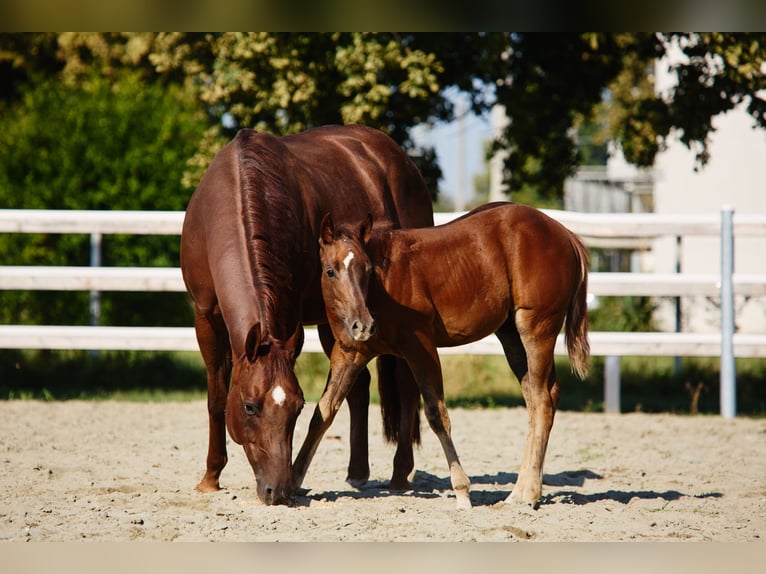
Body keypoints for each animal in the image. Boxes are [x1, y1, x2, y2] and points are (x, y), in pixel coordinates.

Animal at [180, 125, 433, 505]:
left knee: (405, 384)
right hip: (335, 318)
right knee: (358, 386)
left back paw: (400, 473)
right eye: (250, 407)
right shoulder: (205, 316)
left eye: (298, 407)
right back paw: (357, 473)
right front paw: (210, 477)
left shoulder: (287, 313)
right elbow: (216, 398)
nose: (278, 490)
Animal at [293, 202, 589, 509]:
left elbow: (437, 414)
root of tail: (566, 235)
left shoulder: (420, 348)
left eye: (367, 269)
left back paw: (529, 493)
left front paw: (462, 490)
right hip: (511, 337)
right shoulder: (349, 354)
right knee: (537, 398)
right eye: (330, 271)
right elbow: (323, 411)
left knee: (542, 401)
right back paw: (519, 491)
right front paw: (290, 481)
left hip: (536, 329)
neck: (383, 287)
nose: (362, 325)